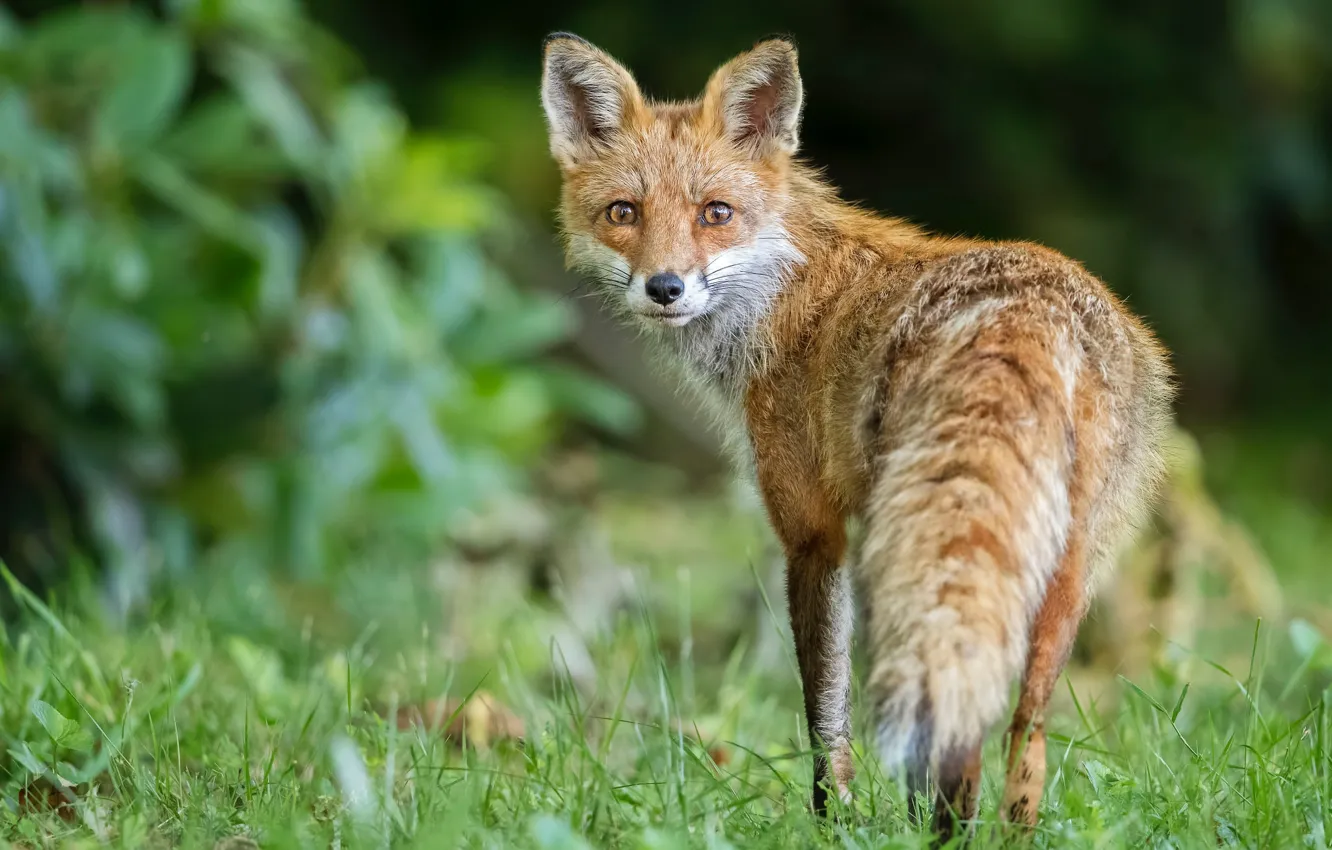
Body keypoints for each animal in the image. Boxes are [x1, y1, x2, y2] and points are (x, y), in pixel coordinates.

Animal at [535, 31, 1172, 842]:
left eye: (716, 213)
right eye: (624, 212)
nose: (666, 287)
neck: (783, 288)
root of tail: (1028, 316)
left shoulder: (813, 531)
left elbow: (824, 709)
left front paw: (830, 820)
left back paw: (943, 834)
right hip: (1065, 564)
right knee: (1023, 729)